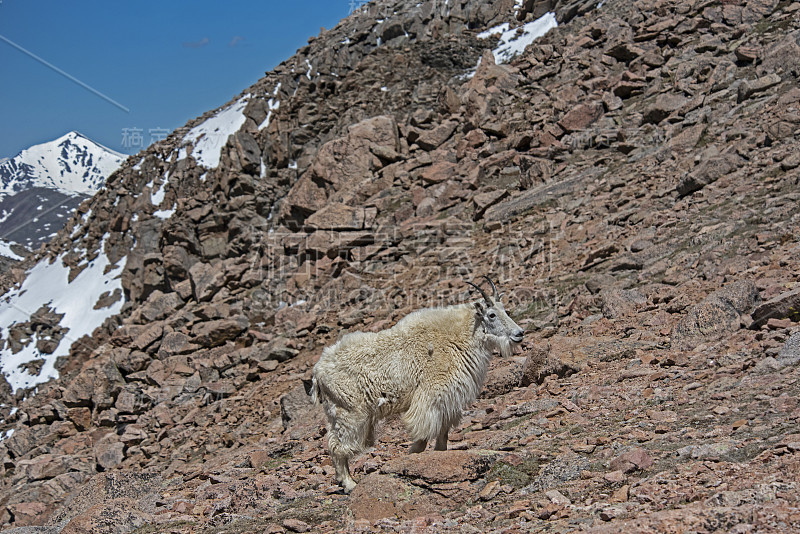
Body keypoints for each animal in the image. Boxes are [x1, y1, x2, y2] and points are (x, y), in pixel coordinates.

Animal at [308, 278, 524, 496]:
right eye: (492, 314)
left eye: (504, 310)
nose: (519, 333)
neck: (460, 336)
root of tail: (318, 371)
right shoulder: (431, 396)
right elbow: (423, 432)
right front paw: (413, 455)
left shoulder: (448, 402)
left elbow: (443, 434)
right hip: (350, 413)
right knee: (337, 446)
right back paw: (349, 483)